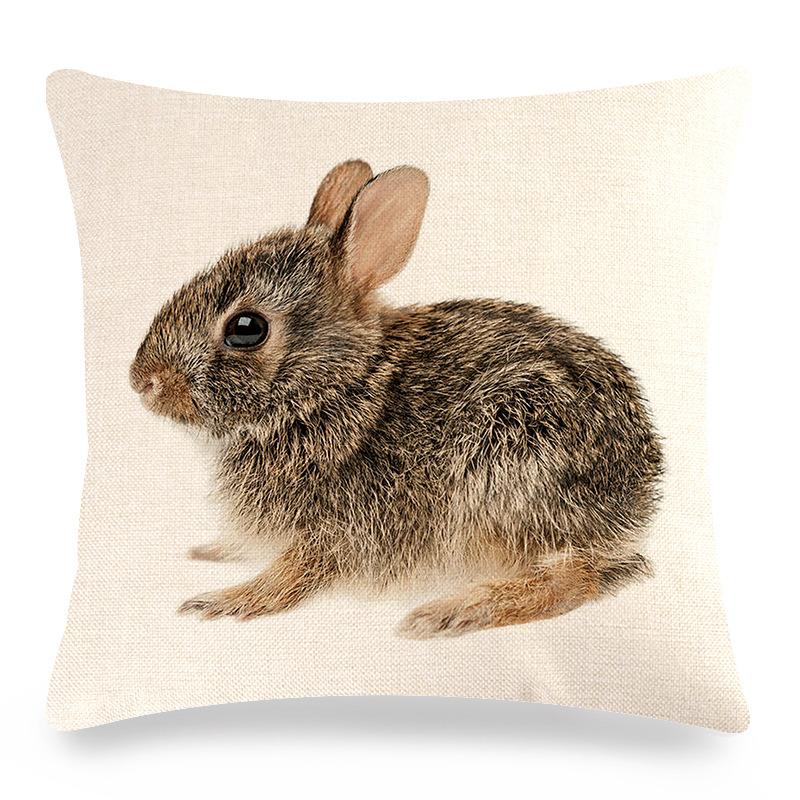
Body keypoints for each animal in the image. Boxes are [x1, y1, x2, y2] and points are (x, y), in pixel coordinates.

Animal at [129, 160, 663, 638]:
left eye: (247, 328)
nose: (143, 382)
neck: (339, 385)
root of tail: (637, 499)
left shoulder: (342, 527)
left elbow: (295, 574)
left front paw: (226, 601)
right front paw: (210, 551)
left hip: (509, 461)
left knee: (575, 577)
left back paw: (451, 612)